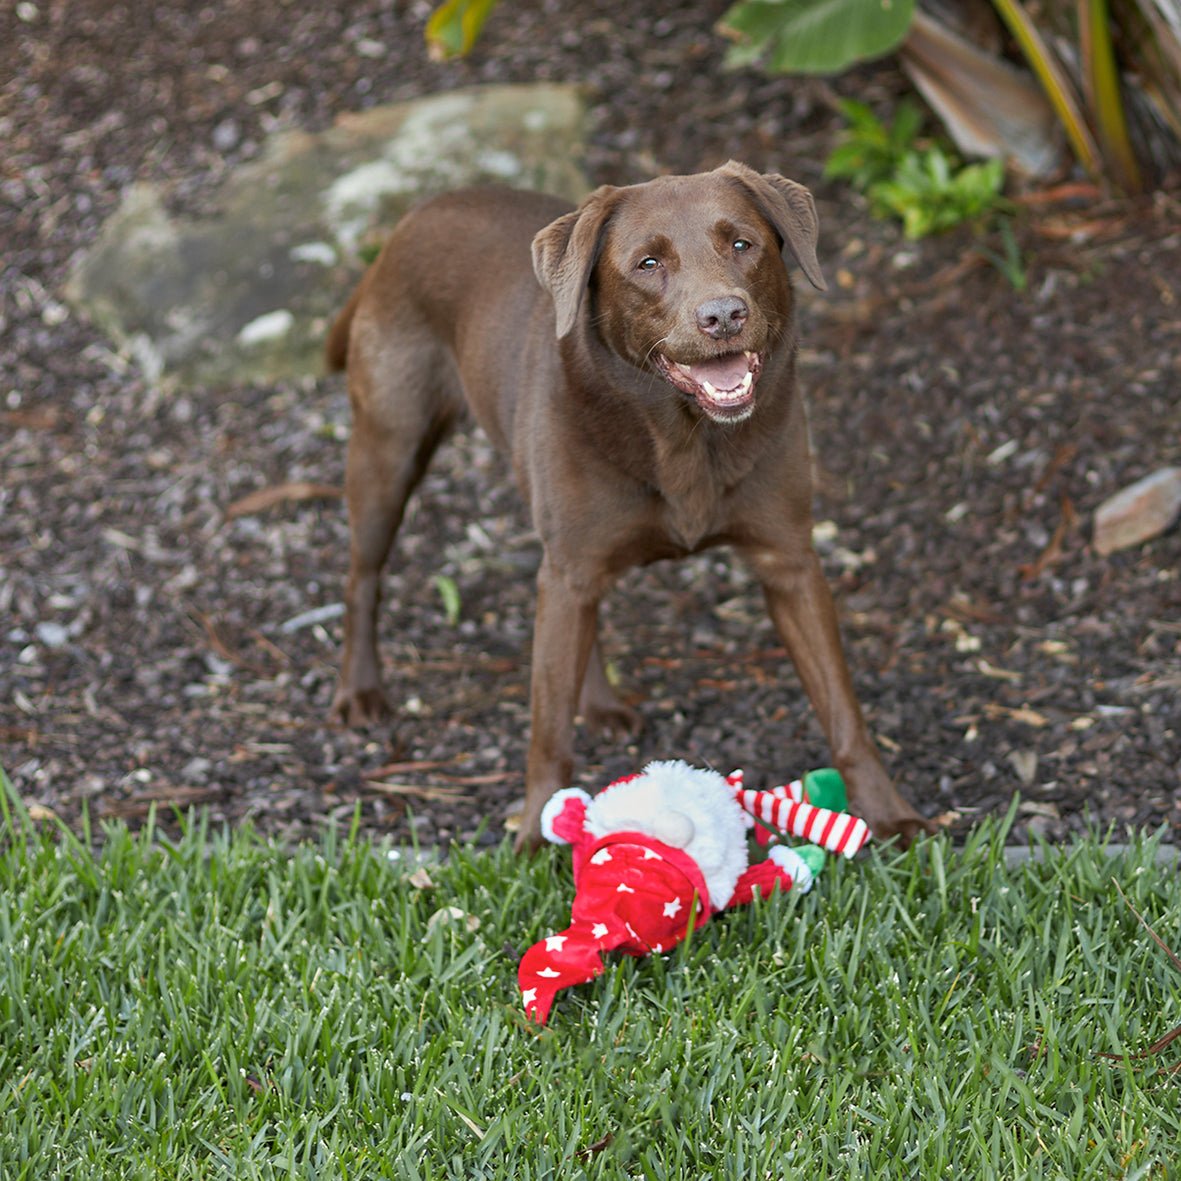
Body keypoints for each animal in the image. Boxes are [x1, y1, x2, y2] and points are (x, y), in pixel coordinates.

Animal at [325, 164, 930, 850]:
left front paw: (888, 813)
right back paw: (360, 691)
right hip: (389, 450)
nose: (723, 314)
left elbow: (843, 708)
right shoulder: (568, 566)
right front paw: (535, 833)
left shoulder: (790, 563)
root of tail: (411, 219)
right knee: (363, 577)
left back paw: (601, 703)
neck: (685, 434)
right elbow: (547, 726)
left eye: (742, 244)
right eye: (647, 264)